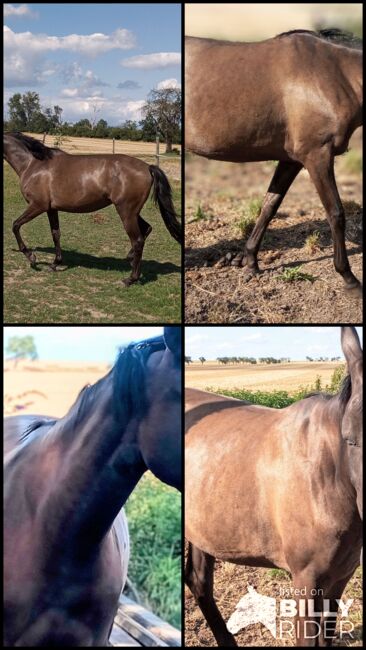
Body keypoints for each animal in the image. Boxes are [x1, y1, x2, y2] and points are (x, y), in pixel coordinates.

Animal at [2, 131, 180, 284]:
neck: (33, 165)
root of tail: (148, 167)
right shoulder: (51, 209)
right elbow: (55, 234)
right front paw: (55, 263)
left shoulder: (38, 205)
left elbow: (15, 225)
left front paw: (32, 258)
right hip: (132, 212)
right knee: (147, 229)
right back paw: (129, 259)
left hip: (126, 212)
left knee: (138, 240)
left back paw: (130, 279)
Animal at [186, 28, 364, 296]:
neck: (337, 74)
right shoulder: (317, 155)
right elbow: (336, 213)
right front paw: (349, 277)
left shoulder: (291, 160)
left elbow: (269, 206)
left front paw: (250, 262)